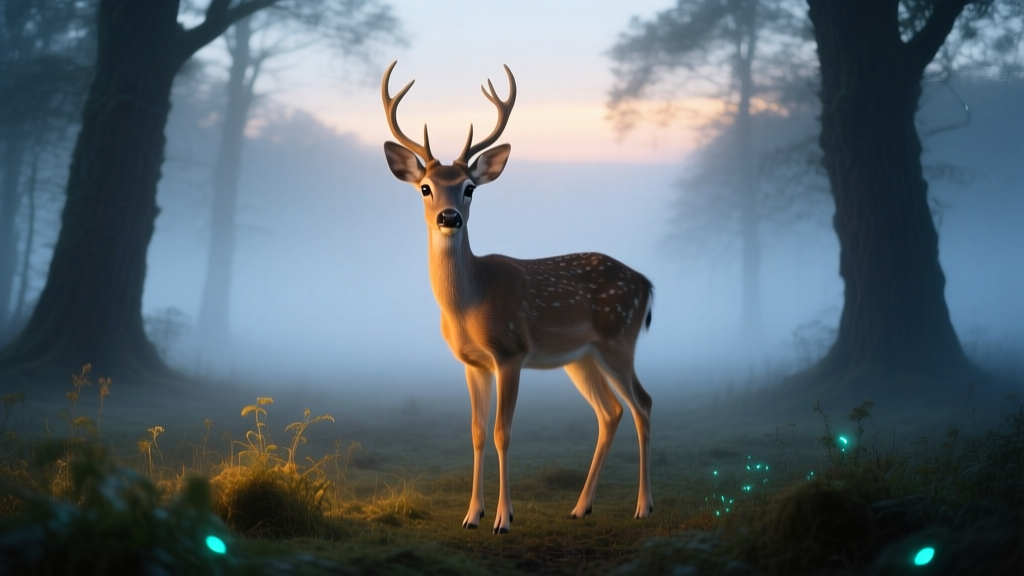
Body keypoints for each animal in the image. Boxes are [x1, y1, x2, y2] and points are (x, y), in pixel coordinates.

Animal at [381, 61, 654, 534]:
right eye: (425, 187)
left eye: (470, 187)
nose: (449, 218)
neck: (470, 304)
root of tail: (647, 283)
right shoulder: (473, 363)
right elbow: (476, 432)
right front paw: (472, 515)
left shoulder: (510, 352)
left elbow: (502, 433)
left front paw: (503, 518)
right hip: (582, 357)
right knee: (610, 412)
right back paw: (581, 507)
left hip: (619, 339)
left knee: (643, 405)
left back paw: (643, 506)